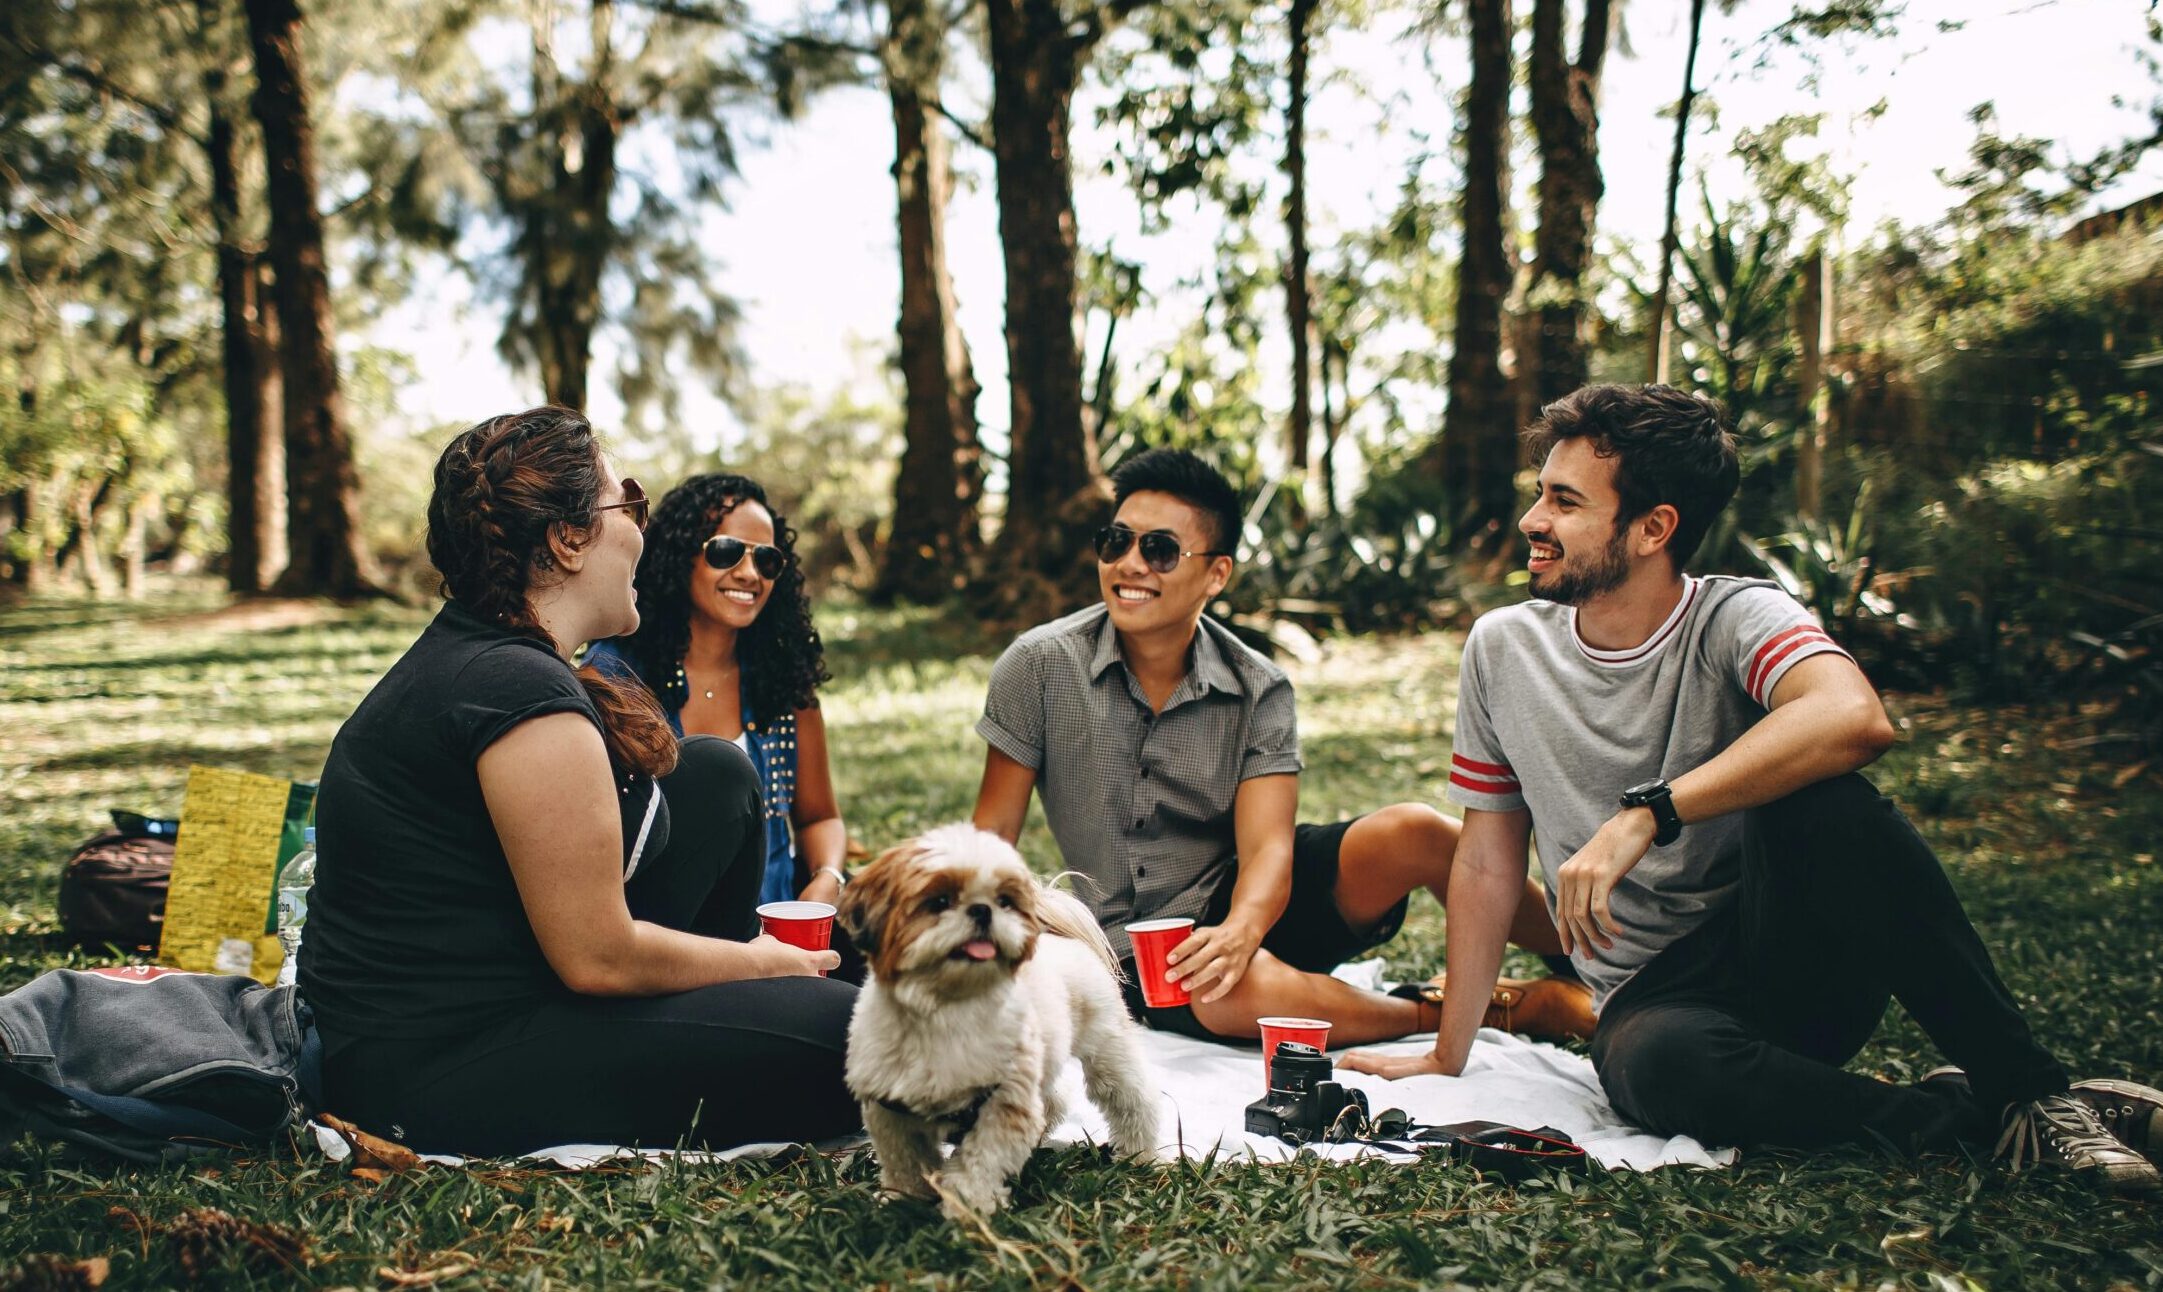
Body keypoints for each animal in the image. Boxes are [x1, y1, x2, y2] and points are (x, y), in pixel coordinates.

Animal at [834, 822, 1168, 1211]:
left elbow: (979, 1164)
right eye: (940, 901)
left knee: (1133, 1098)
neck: (946, 1009)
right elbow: (905, 1162)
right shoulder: (891, 1110)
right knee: (1053, 1100)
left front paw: (967, 1206)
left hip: (1107, 1048)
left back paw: (1138, 1154)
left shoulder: (1003, 1105)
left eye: (1004, 901)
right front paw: (903, 1200)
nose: (982, 910)